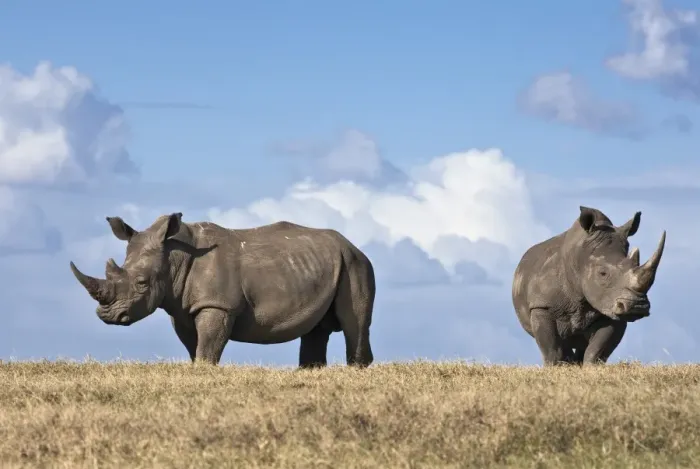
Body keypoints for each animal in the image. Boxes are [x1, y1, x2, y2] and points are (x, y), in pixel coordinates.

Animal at [69, 212, 376, 367]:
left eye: (142, 283)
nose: (107, 316)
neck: (174, 256)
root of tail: (352, 244)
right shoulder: (181, 308)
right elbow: (193, 345)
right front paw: (197, 369)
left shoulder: (217, 304)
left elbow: (208, 344)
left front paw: (205, 370)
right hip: (331, 264)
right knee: (315, 329)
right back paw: (311, 371)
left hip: (355, 264)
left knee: (355, 323)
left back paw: (357, 368)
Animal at [512, 206, 666, 366]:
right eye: (602, 273)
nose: (637, 306)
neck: (579, 258)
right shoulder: (541, 305)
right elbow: (553, 350)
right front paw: (555, 367)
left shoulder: (608, 305)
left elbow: (597, 350)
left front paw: (590, 367)